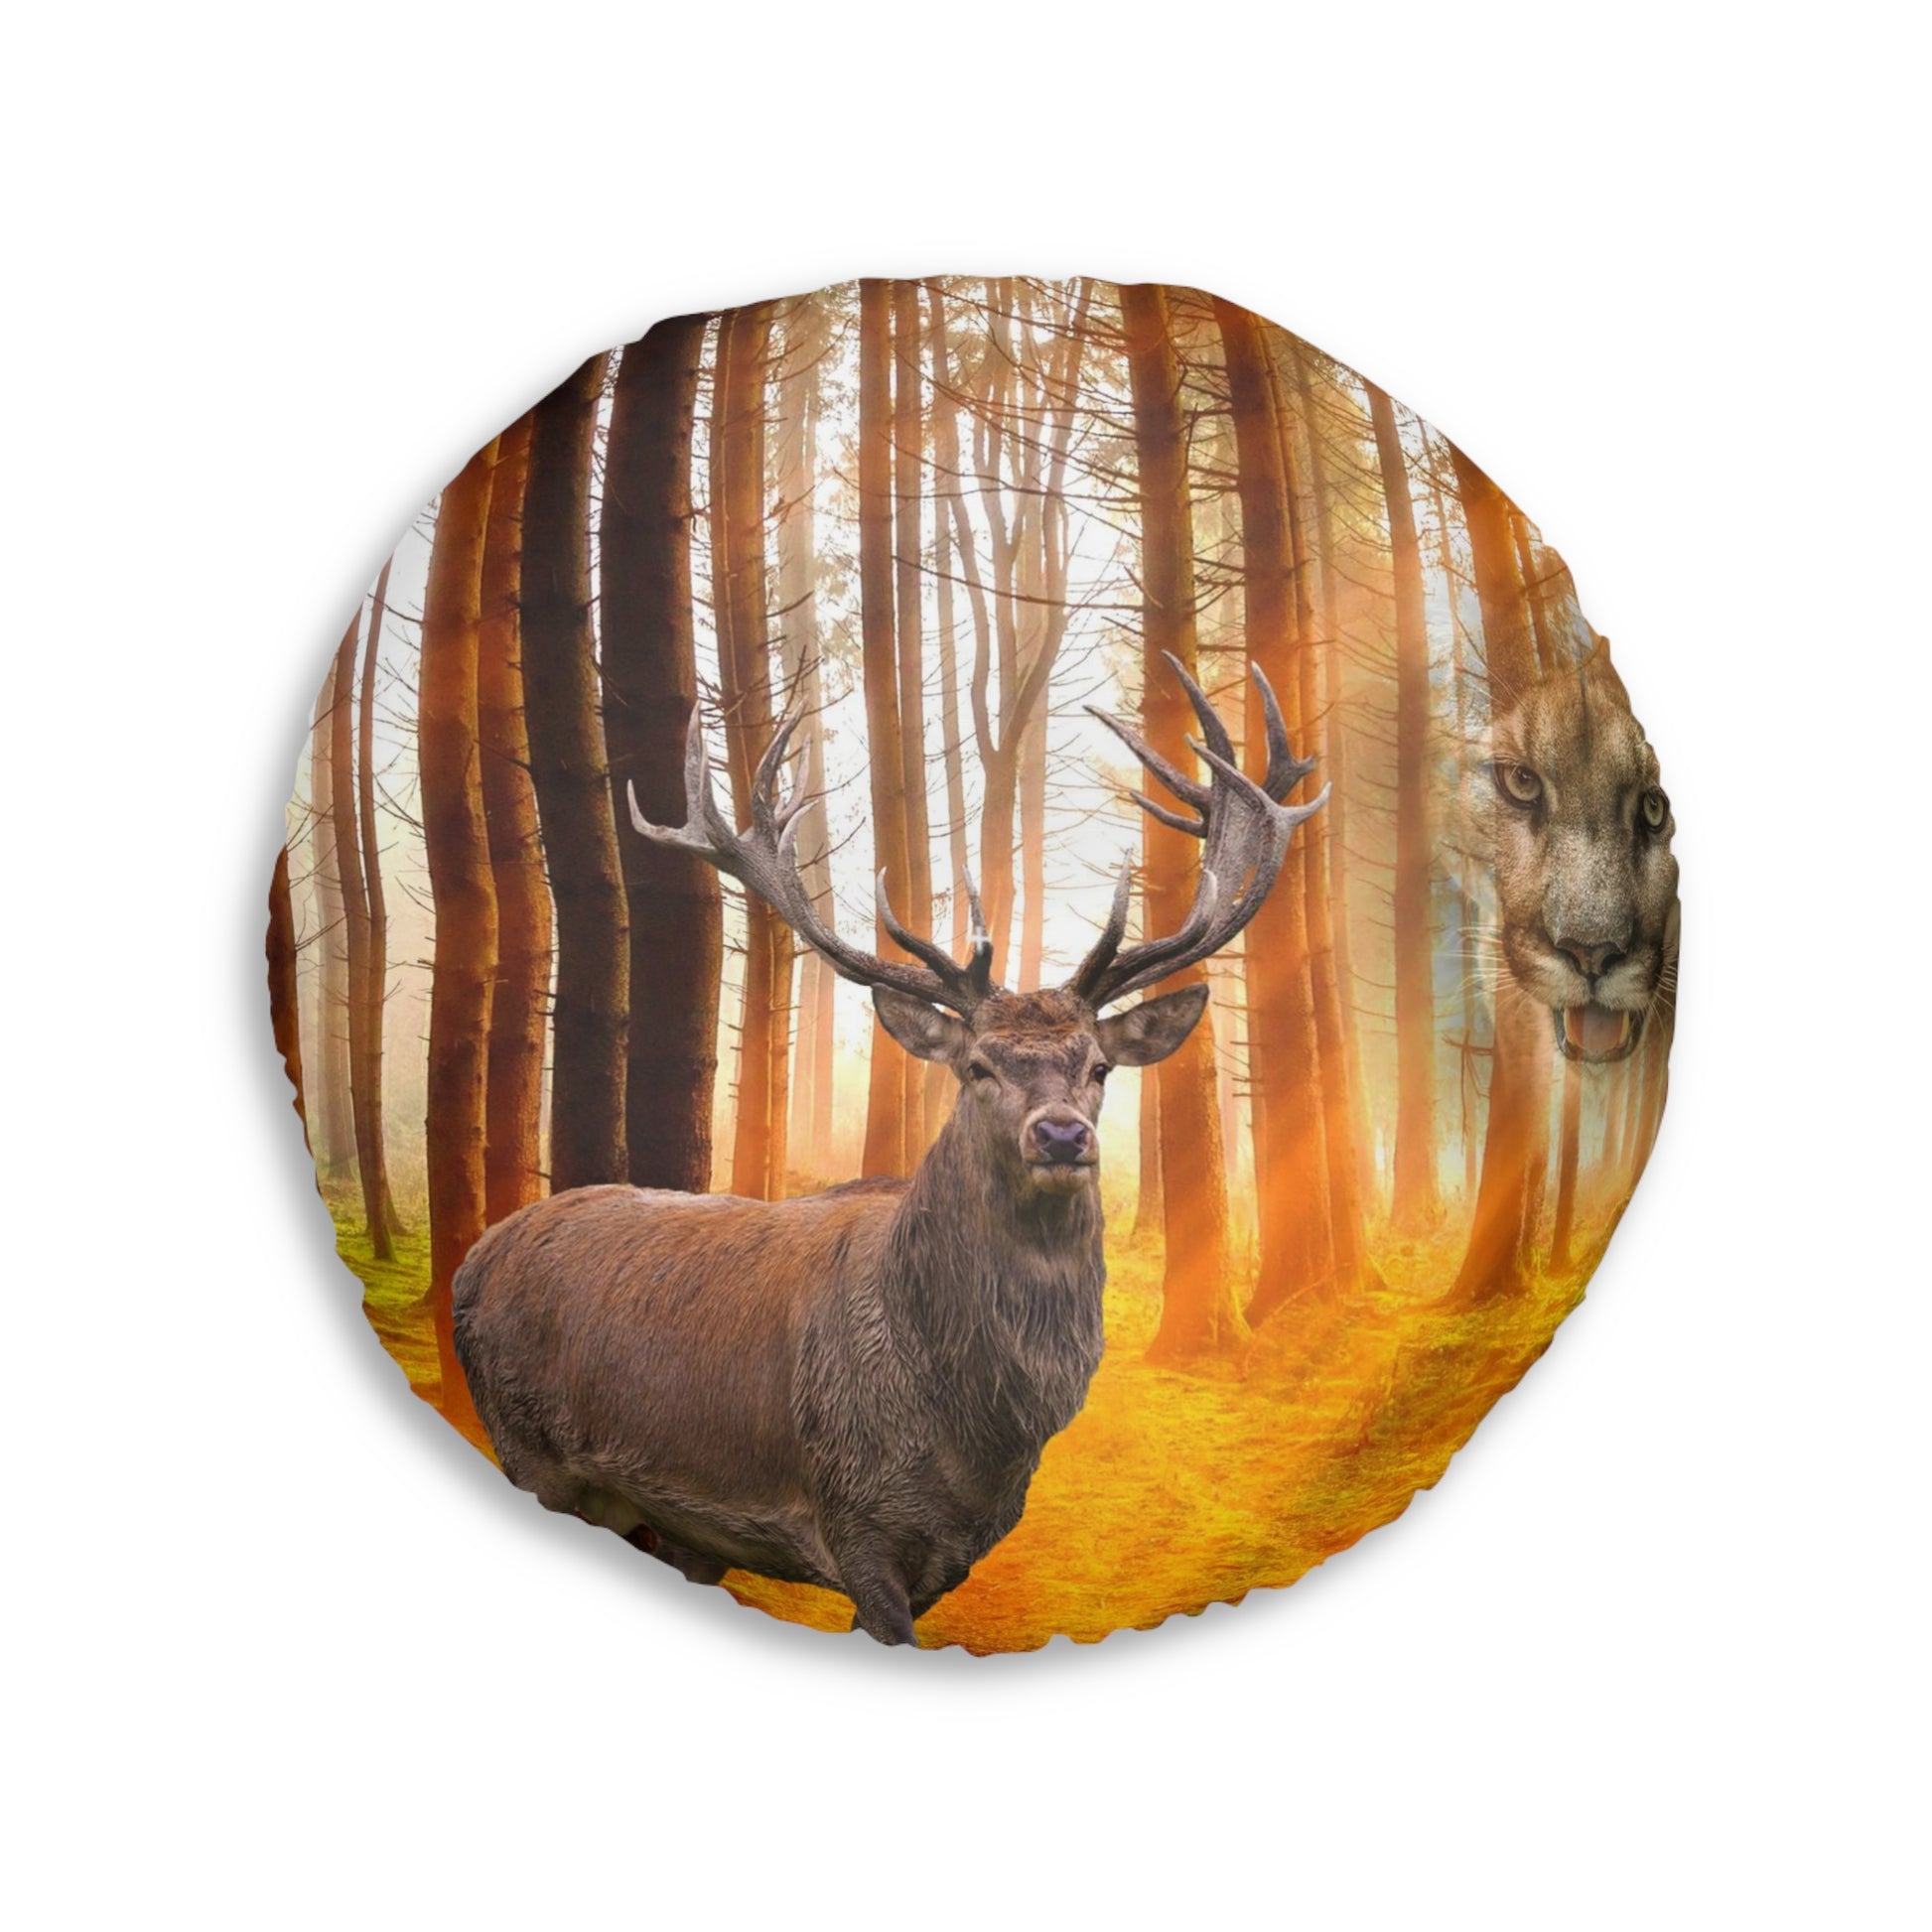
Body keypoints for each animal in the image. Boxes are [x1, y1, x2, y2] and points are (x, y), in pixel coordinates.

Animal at [452, 654, 1325, 1644]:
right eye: (977, 1065)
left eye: (1099, 1065)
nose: (1062, 1133)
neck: (974, 1434)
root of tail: (474, 1259)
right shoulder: (853, 1517)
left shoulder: (953, 1552)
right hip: (526, 1446)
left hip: (676, 1527)